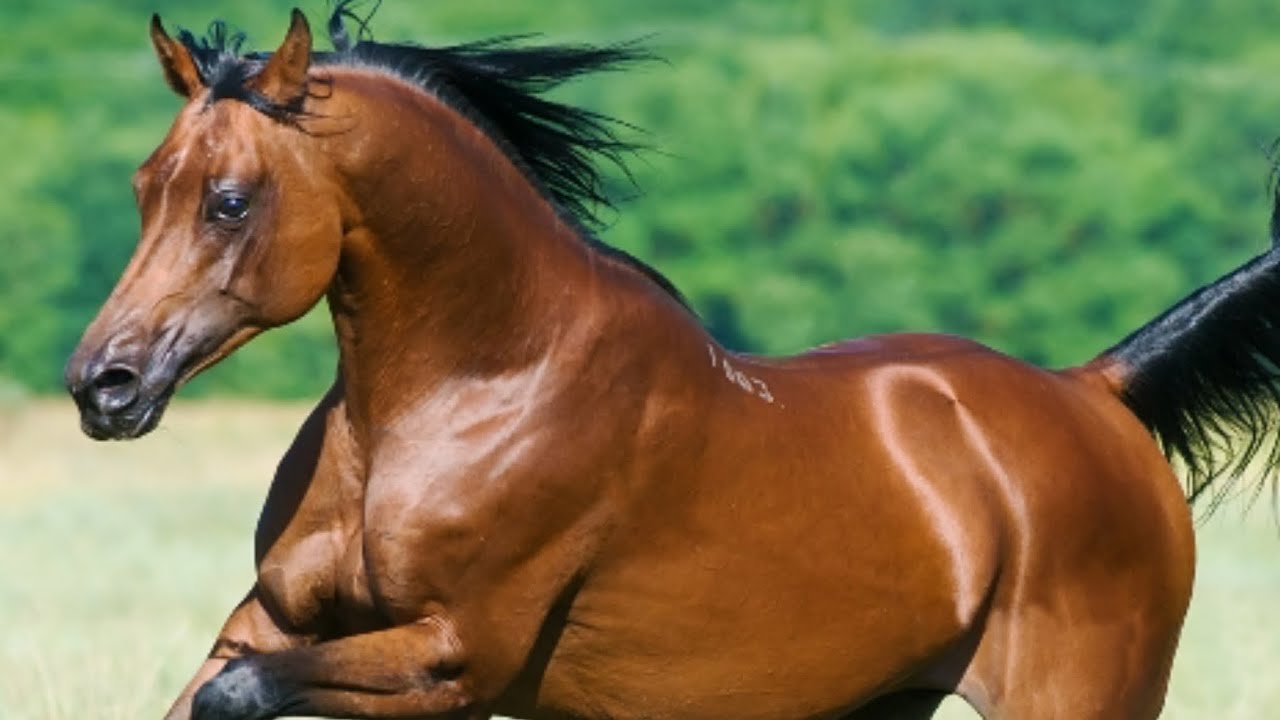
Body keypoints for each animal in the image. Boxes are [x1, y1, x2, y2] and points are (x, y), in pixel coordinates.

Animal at [63, 5, 1280, 719]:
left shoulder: (456, 658)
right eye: (142, 186)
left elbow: (236, 696)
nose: (102, 386)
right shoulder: (271, 621)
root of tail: (1096, 393)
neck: (471, 388)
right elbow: (208, 689)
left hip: (1081, 701)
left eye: (229, 201)